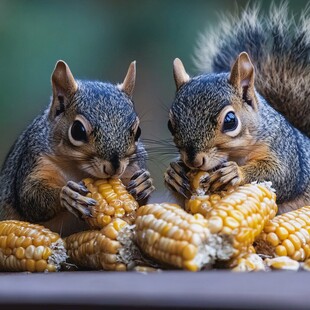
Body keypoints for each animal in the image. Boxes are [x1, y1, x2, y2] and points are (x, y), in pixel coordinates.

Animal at [0, 60, 154, 235]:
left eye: (138, 131)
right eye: (77, 131)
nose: (114, 168)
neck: (79, 169)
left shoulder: (133, 166)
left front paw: (144, 183)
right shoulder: (36, 160)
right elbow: (29, 198)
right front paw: (68, 194)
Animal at [163, 3, 308, 214]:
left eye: (231, 121)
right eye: (170, 124)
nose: (193, 161)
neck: (236, 154)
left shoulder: (284, 151)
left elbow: (281, 175)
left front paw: (235, 172)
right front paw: (173, 173)